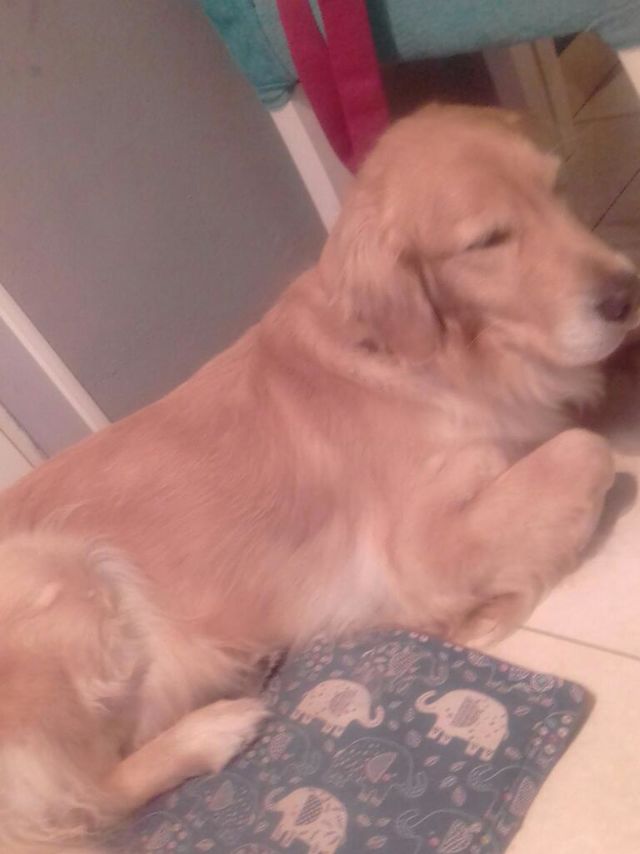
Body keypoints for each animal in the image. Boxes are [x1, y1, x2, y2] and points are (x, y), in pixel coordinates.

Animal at [0, 104, 637, 851]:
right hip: (60, 574)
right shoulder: (419, 551)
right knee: (84, 801)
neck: (430, 356)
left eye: (558, 188)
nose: (627, 295)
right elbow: (586, 451)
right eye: (489, 240)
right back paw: (212, 731)